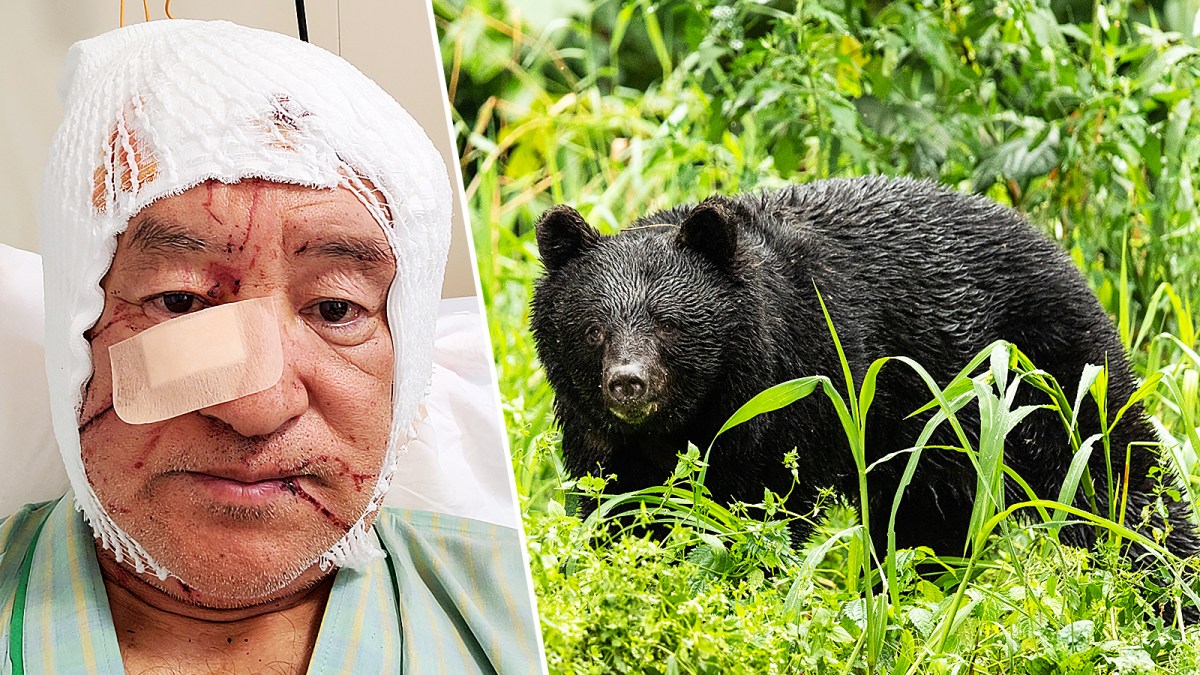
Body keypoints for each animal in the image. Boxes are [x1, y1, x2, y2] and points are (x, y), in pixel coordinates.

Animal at [529, 175, 1200, 562]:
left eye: (668, 323)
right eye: (593, 329)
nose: (628, 383)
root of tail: (1061, 251)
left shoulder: (800, 395)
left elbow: (768, 509)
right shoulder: (605, 442)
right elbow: (621, 510)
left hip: (1049, 373)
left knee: (1120, 477)